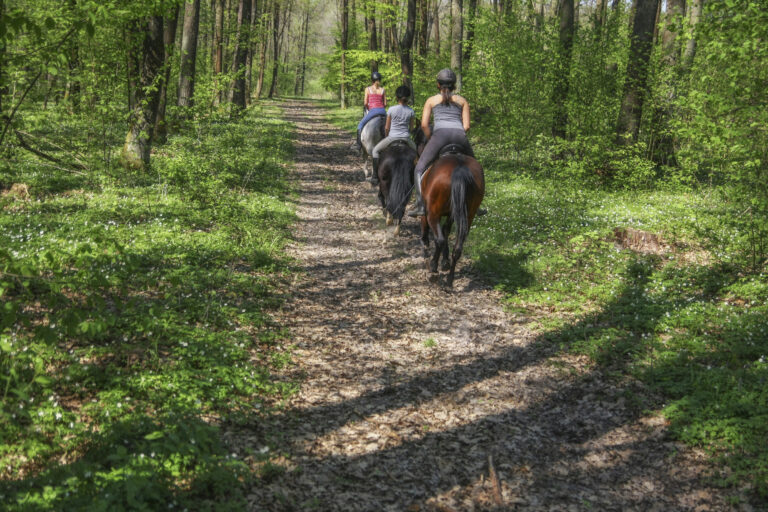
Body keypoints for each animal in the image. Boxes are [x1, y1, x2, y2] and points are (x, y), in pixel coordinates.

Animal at [420, 150, 486, 290]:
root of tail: (460, 169)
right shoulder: (452, 215)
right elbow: (446, 230)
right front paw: (445, 261)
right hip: (468, 215)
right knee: (457, 248)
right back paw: (449, 281)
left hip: (433, 213)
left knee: (439, 239)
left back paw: (433, 268)